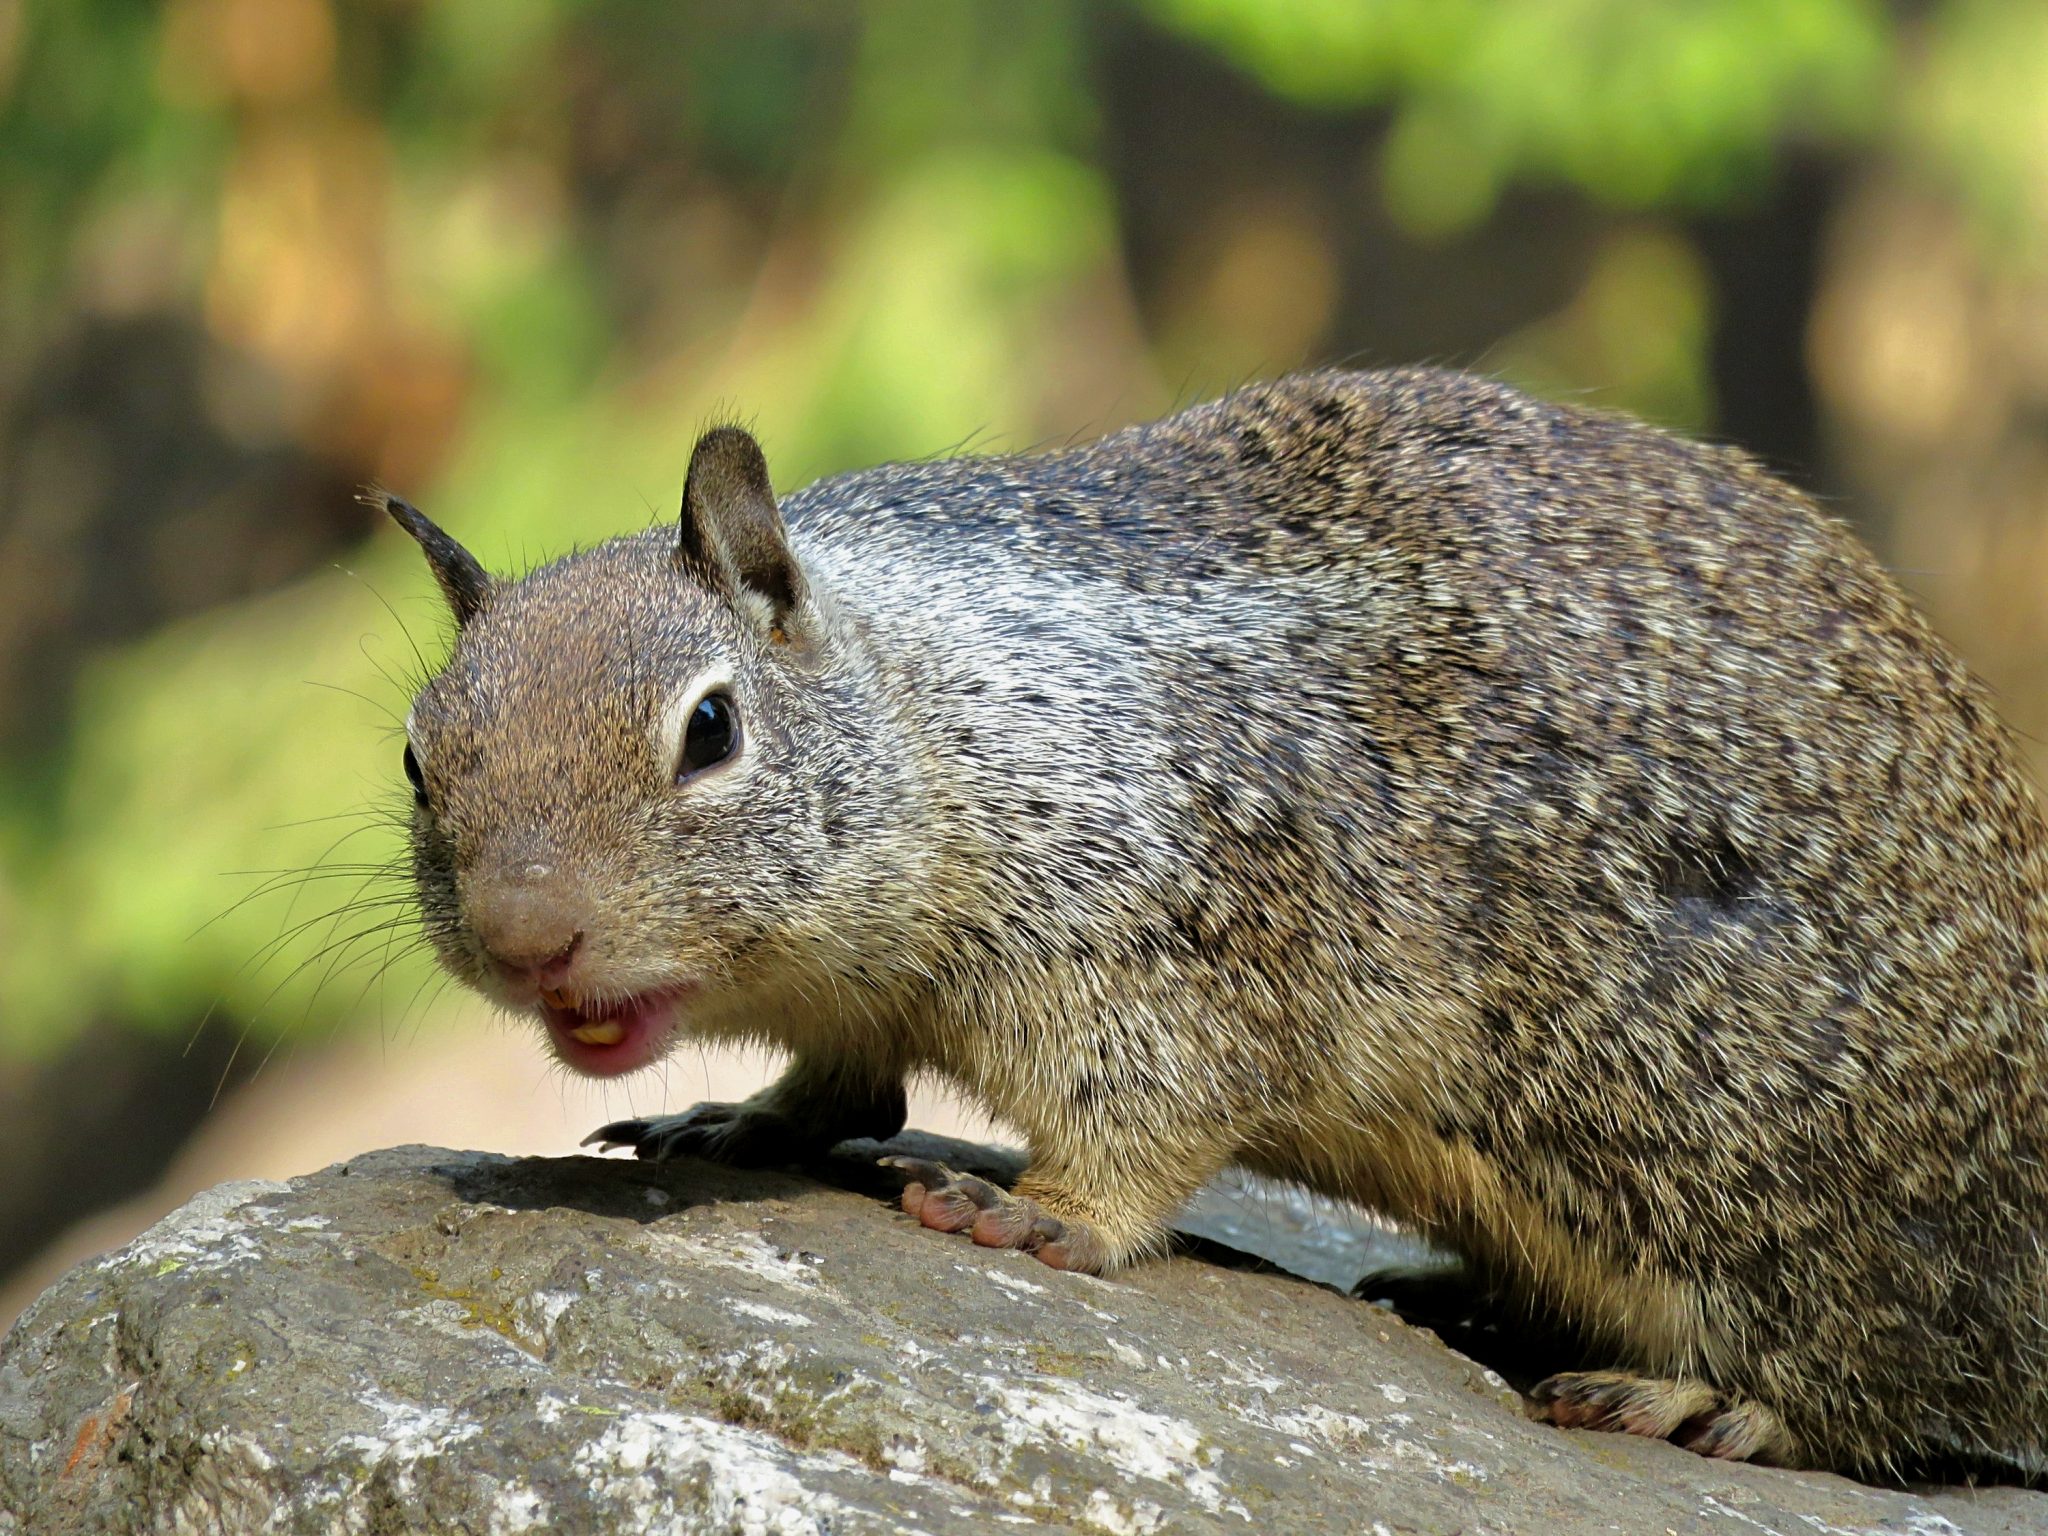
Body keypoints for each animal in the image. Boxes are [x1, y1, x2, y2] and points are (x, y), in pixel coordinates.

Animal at [387, 370, 2048, 1482]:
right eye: (416, 759)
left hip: (1787, 1198)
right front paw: (735, 1120)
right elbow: (841, 1086)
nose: (530, 940)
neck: (935, 699)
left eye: (712, 729)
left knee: (1882, 1393)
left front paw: (1042, 1213)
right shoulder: (863, 996)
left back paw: (1697, 1400)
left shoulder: (1157, 942)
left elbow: (1152, 1113)